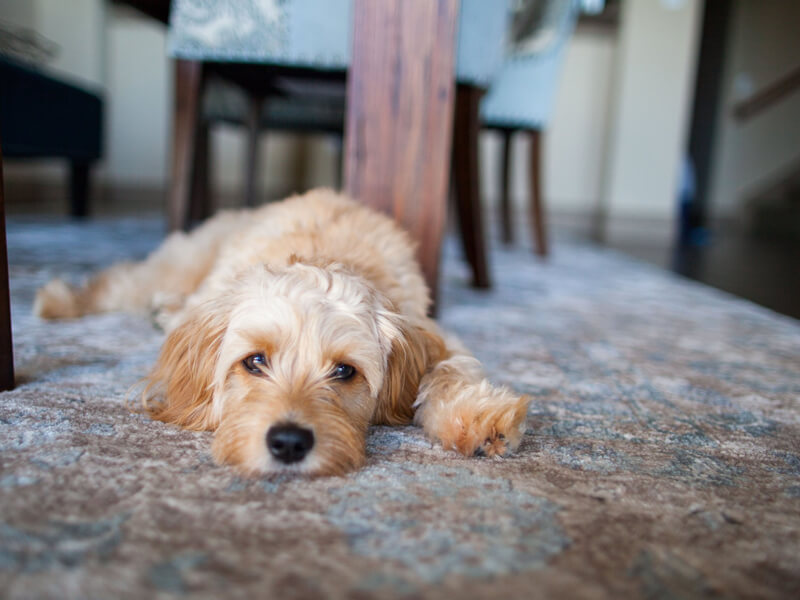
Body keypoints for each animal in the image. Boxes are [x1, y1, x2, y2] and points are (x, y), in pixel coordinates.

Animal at [34, 190, 528, 476]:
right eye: (255, 361)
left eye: (344, 372)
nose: (289, 444)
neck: (320, 255)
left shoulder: (432, 334)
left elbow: (449, 371)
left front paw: (477, 418)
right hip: (179, 265)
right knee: (120, 283)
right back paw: (60, 301)